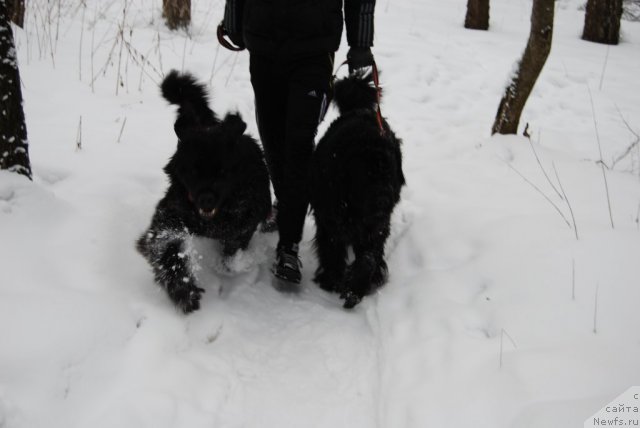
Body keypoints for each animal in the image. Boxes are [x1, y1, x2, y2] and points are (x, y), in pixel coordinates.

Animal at [138, 69, 270, 310]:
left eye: (223, 172)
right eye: (193, 171)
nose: (206, 199)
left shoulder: (243, 226)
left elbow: (231, 259)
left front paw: (238, 265)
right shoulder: (169, 217)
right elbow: (168, 248)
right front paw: (184, 290)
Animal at [310, 72, 404, 310]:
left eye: (389, 173)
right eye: (367, 177)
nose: (384, 200)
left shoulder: (377, 227)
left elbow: (369, 258)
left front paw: (355, 288)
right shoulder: (329, 218)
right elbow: (331, 248)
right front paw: (332, 280)